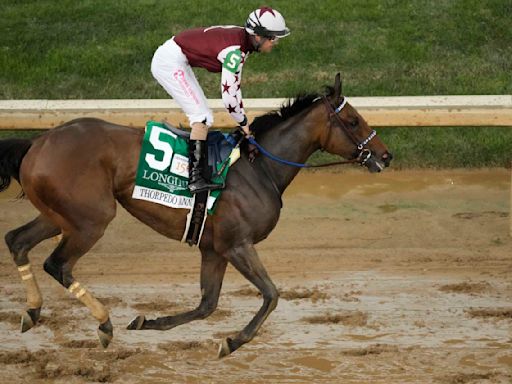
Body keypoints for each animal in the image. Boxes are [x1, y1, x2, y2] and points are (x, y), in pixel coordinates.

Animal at [1, 74, 392, 356]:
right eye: (353, 121)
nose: (385, 156)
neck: (258, 168)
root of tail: (37, 142)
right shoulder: (237, 244)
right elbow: (271, 294)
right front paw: (233, 341)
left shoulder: (213, 249)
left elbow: (207, 304)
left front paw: (146, 322)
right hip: (91, 219)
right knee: (57, 264)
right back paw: (103, 323)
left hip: (60, 214)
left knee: (16, 240)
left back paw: (32, 311)